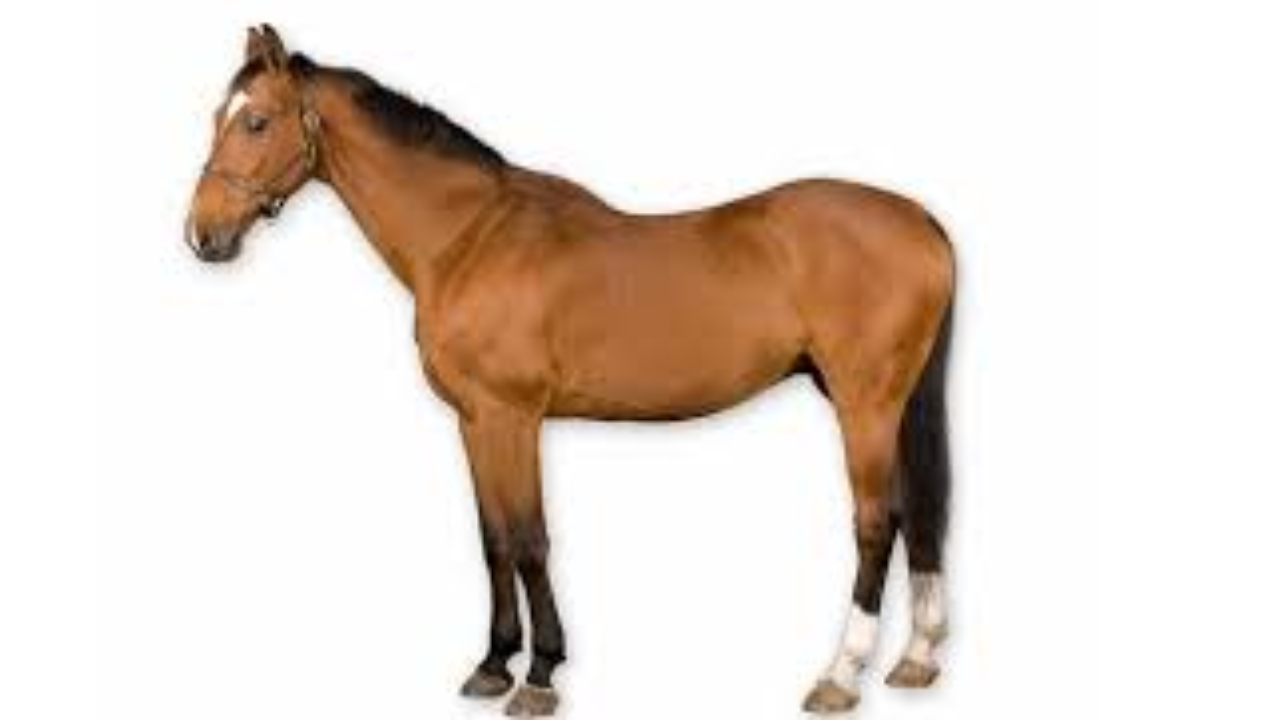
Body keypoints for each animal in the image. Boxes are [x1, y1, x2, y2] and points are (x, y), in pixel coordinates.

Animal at [185, 25, 956, 717]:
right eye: (218, 116)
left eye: (256, 120)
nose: (202, 235)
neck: (469, 239)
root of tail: (922, 220)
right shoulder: (474, 422)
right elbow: (493, 537)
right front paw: (492, 665)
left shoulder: (513, 417)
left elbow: (530, 540)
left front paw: (540, 677)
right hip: (891, 401)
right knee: (918, 513)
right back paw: (917, 660)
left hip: (864, 403)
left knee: (875, 522)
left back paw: (840, 676)